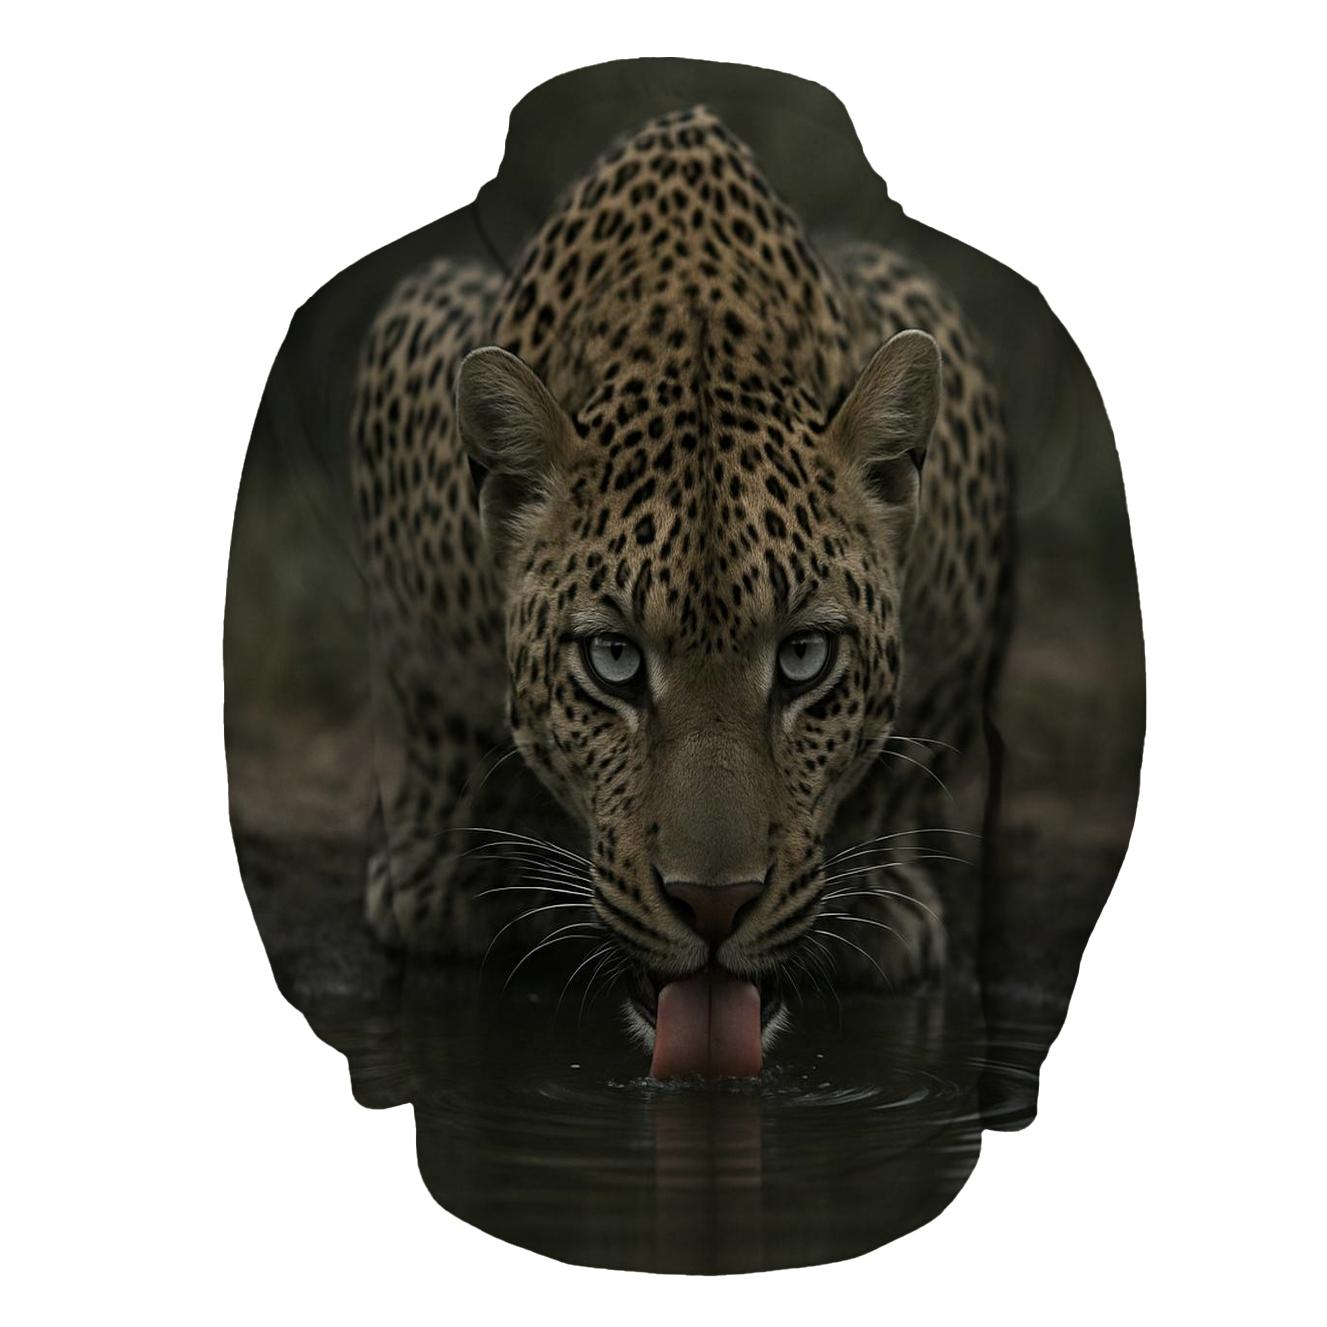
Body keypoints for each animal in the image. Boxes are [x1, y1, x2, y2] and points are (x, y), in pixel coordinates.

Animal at [350, 106, 1011, 1071]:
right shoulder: (408, 337)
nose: (713, 903)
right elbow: (431, 702)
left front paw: (881, 906)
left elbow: (910, 741)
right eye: (614, 660)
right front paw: (434, 882)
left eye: (804, 657)